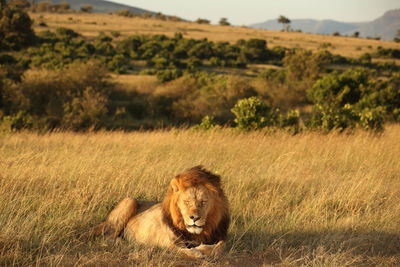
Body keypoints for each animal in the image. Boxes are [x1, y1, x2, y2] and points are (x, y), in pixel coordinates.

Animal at [94, 166, 230, 258]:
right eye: (186, 202)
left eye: (203, 202)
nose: (194, 218)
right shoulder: (166, 242)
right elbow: (178, 249)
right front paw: (197, 252)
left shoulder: (219, 238)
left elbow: (221, 246)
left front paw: (204, 249)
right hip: (130, 201)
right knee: (108, 237)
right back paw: (124, 242)